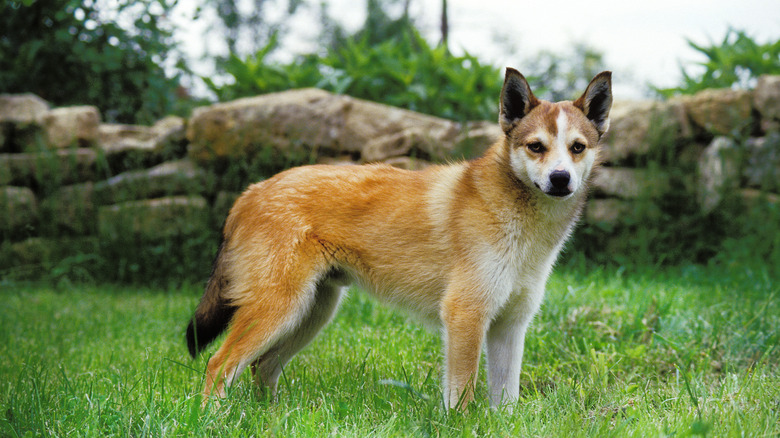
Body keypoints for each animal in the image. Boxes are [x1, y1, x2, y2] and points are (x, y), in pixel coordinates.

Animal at [186, 66, 612, 408]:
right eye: (536, 146)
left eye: (577, 148)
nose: (561, 178)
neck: (517, 218)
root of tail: (253, 191)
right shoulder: (466, 316)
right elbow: (461, 396)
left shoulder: (510, 326)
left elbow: (505, 400)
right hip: (279, 310)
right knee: (219, 364)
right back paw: (213, 418)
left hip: (310, 313)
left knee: (263, 367)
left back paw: (269, 416)